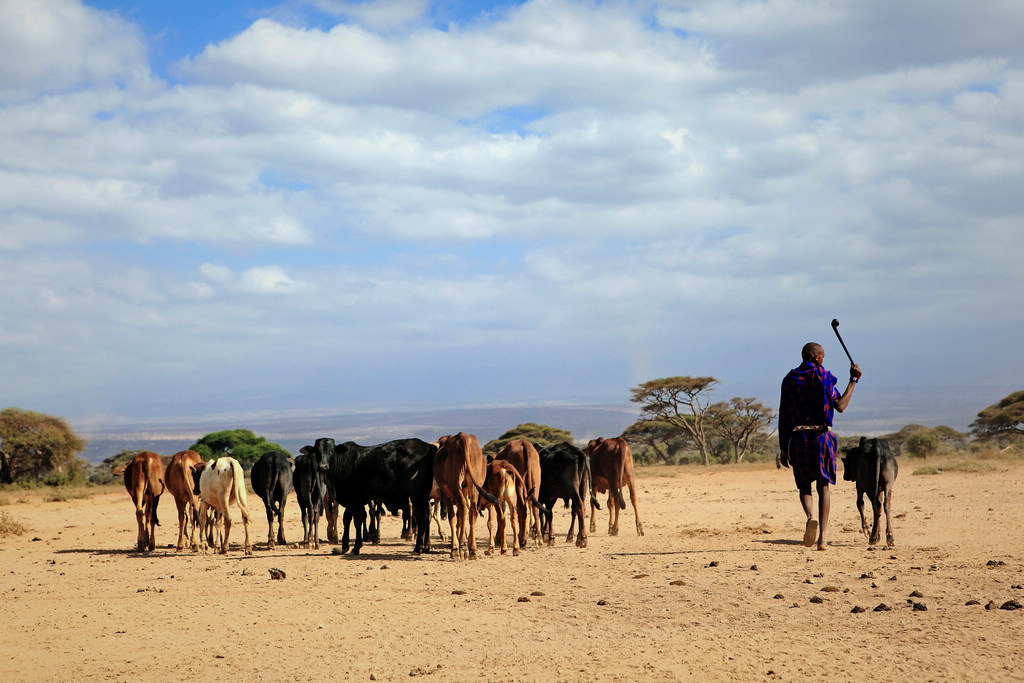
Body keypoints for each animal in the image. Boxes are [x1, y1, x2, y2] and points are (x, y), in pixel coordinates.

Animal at [430, 432, 497, 561]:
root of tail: (463, 438)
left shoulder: (446, 494)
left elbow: (453, 518)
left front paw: (454, 548)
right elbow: (460, 518)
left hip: (455, 485)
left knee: (462, 508)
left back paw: (462, 547)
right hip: (474, 487)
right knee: (472, 511)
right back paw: (472, 550)